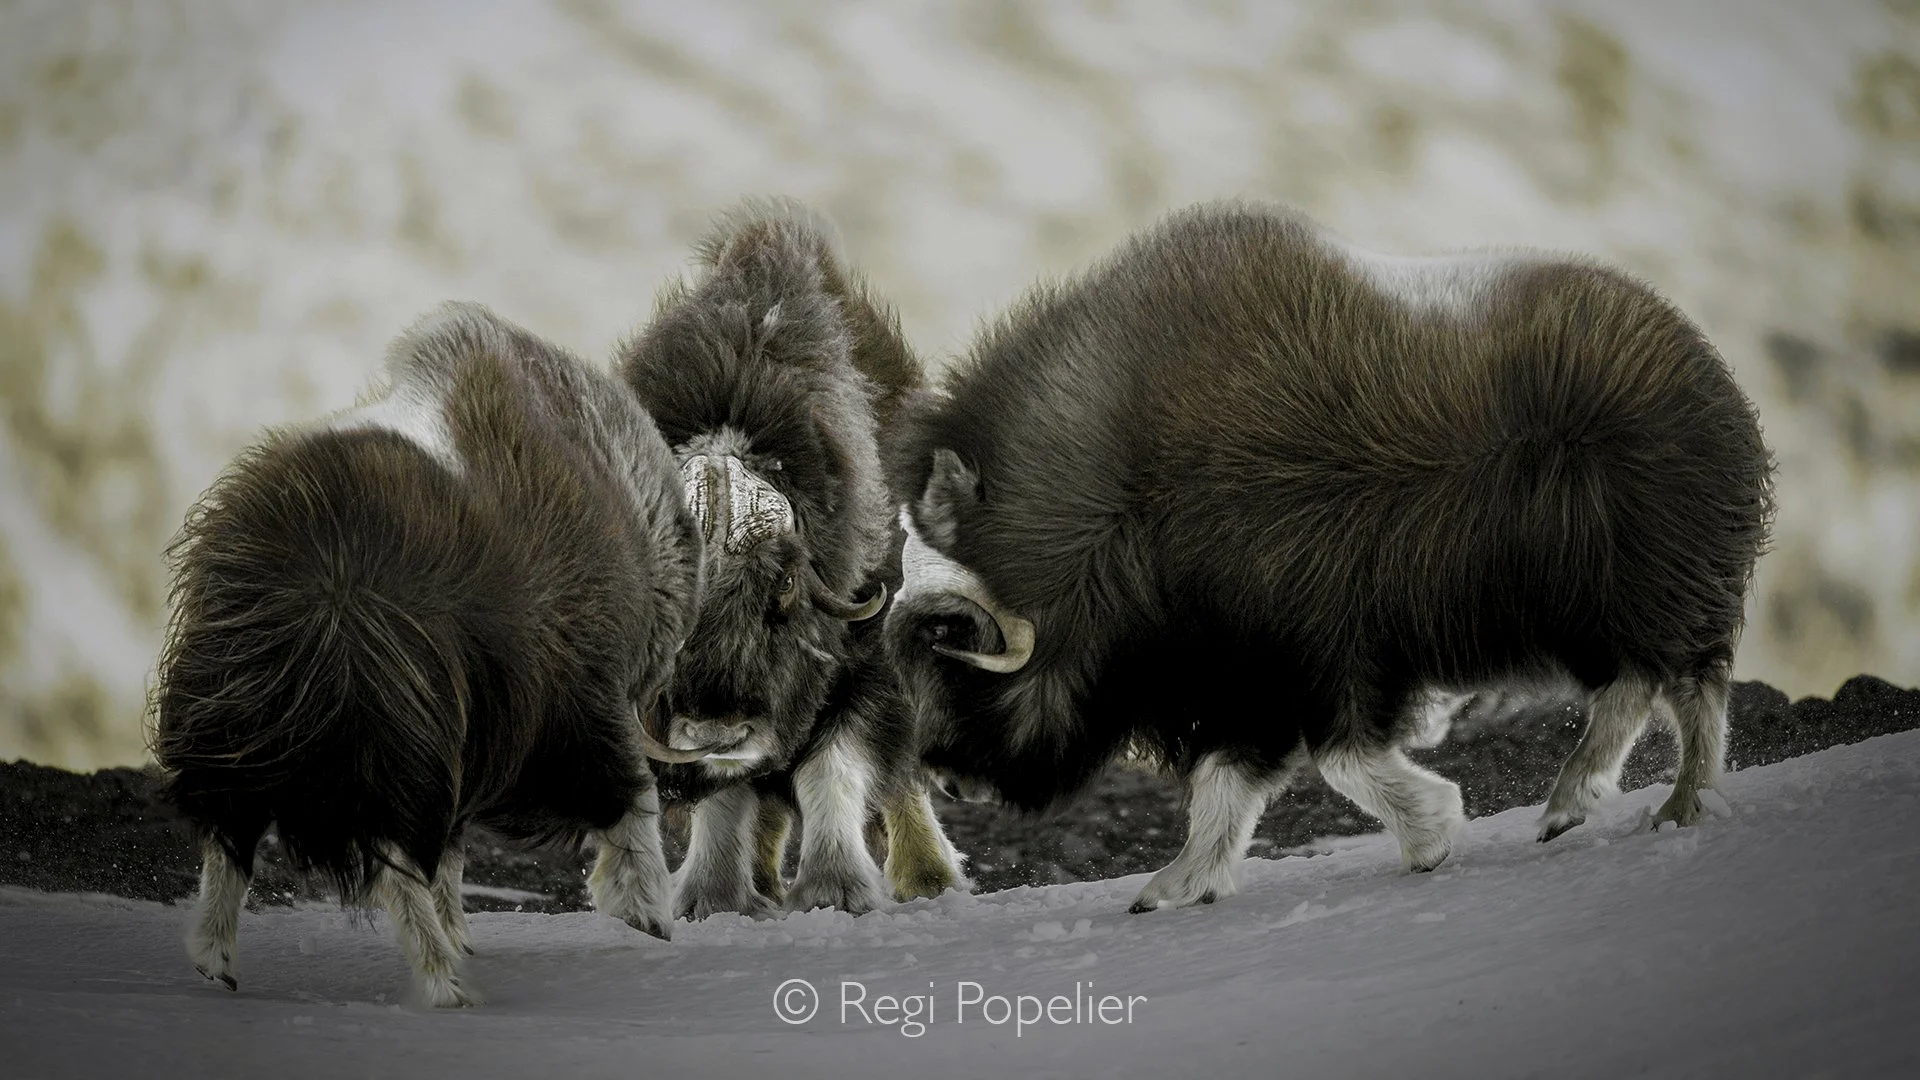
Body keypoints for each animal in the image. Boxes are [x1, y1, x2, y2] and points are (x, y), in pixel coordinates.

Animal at [150, 303, 705, 1006]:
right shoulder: (580, 710)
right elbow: (631, 799)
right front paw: (650, 917)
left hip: (243, 732)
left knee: (234, 842)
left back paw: (217, 961)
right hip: (396, 750)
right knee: (396, 867)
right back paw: (445, 984)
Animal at [617, 200, 966, 919]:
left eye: (782, 589)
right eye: (676, 605)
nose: (717, 729)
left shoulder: (869, 668)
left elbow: (831, 769)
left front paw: (834, 891)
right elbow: (724, 799)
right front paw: (711, 899)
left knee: (898, 783)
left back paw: (928, 879)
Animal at [882, 200, 1774, 915]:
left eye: (948, 638)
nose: (950, 779)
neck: (1117, 507)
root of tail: (1700, 360)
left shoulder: (1313, 652)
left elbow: (1336, 761)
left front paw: (1432, 835)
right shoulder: (1238, 678)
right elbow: (1227, 784)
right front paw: (1175, 887)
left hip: (1655, 588)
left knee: (1686, 688)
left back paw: (1659, 806)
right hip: (1588, 616)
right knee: (1641, 689)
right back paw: (1588, 806)